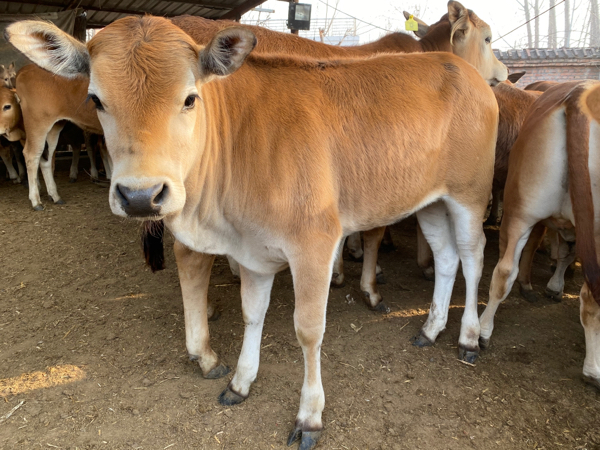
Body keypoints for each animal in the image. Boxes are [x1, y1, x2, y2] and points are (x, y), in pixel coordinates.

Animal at [476, 80, 600, 386]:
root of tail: (580, 93)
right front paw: (553, 284)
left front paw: (554, 284)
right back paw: (593, 368)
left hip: (523, 210)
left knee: (503, 272)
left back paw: (483, 332)